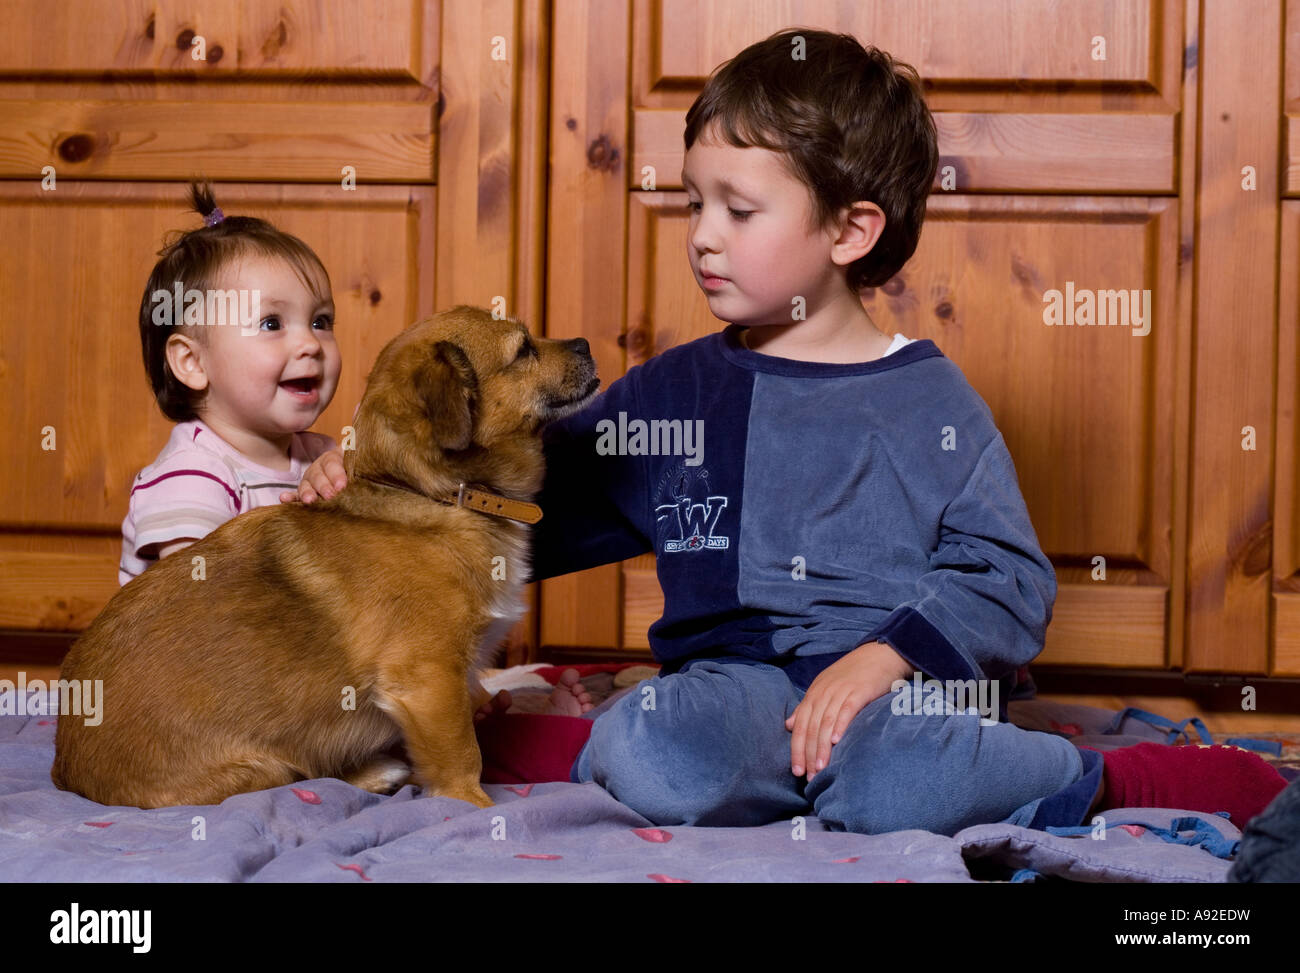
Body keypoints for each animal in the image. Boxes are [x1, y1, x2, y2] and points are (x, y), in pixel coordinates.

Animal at [50, 308, 595, 811]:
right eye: (523, 349)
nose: (588, 343)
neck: (432, 495)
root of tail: (63, 770)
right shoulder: (428, 677)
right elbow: (462, 755)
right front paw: (474, 809)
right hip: (261, 765)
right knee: (301, 777)